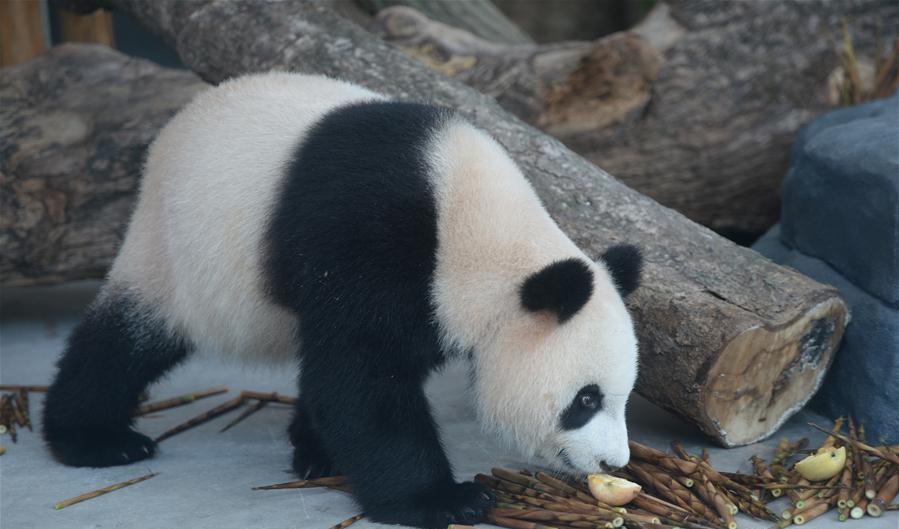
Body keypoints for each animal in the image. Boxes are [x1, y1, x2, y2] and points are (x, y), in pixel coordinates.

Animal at [44, 73, 640, 528]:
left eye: (623, 397)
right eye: (586, 399)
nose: (614, 460)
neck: (473, 227)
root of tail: (172, 129)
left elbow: (345, 374)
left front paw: (324, 448)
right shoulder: (372, 238)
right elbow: (363, 377)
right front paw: (446, 500)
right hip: (178, 251)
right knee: (126, 340)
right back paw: (95, 439)